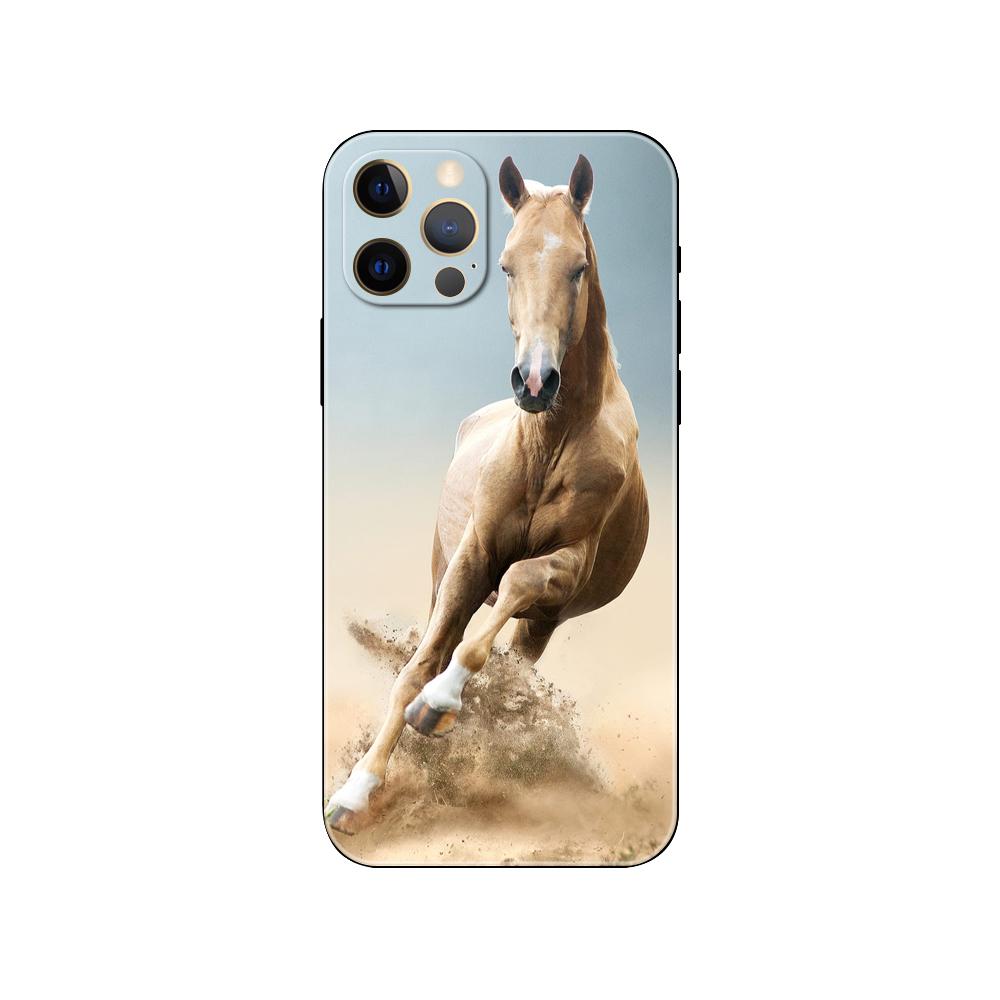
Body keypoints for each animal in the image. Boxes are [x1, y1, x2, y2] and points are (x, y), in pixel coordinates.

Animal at [326, 154, 649, 833]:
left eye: (578, 266)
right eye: (505, 264)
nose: (536, 380)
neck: (550, 441)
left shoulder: (568, 565)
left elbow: (517, 587)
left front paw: (439, 706)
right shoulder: (470, 560)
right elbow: (416, 665)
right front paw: (354, 793)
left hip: (545, 621)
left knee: (512, 651)